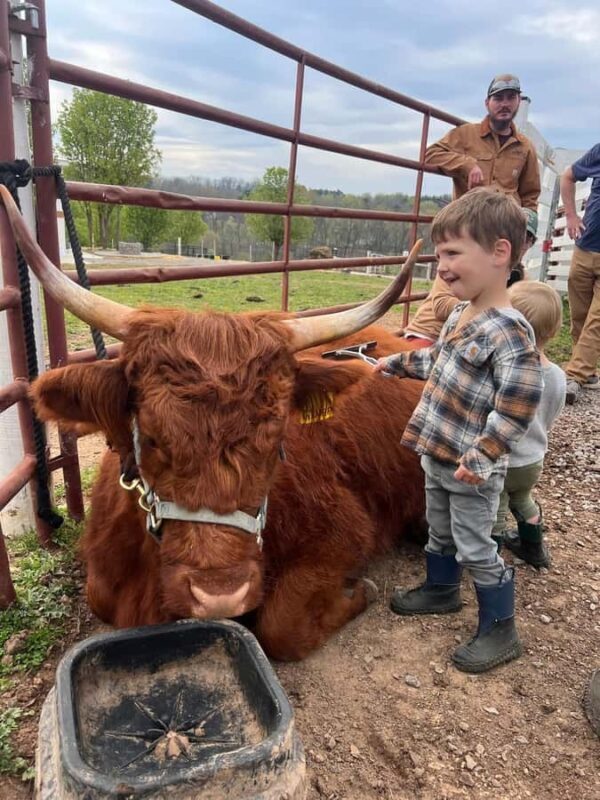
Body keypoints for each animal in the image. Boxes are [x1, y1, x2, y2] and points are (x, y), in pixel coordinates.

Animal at [1, 186, 425, 661]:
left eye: (277, 438)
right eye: (151, 438)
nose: (219, 594)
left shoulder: (342, 532)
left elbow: (281, 627)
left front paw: (360, 592)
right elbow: (99, 596)